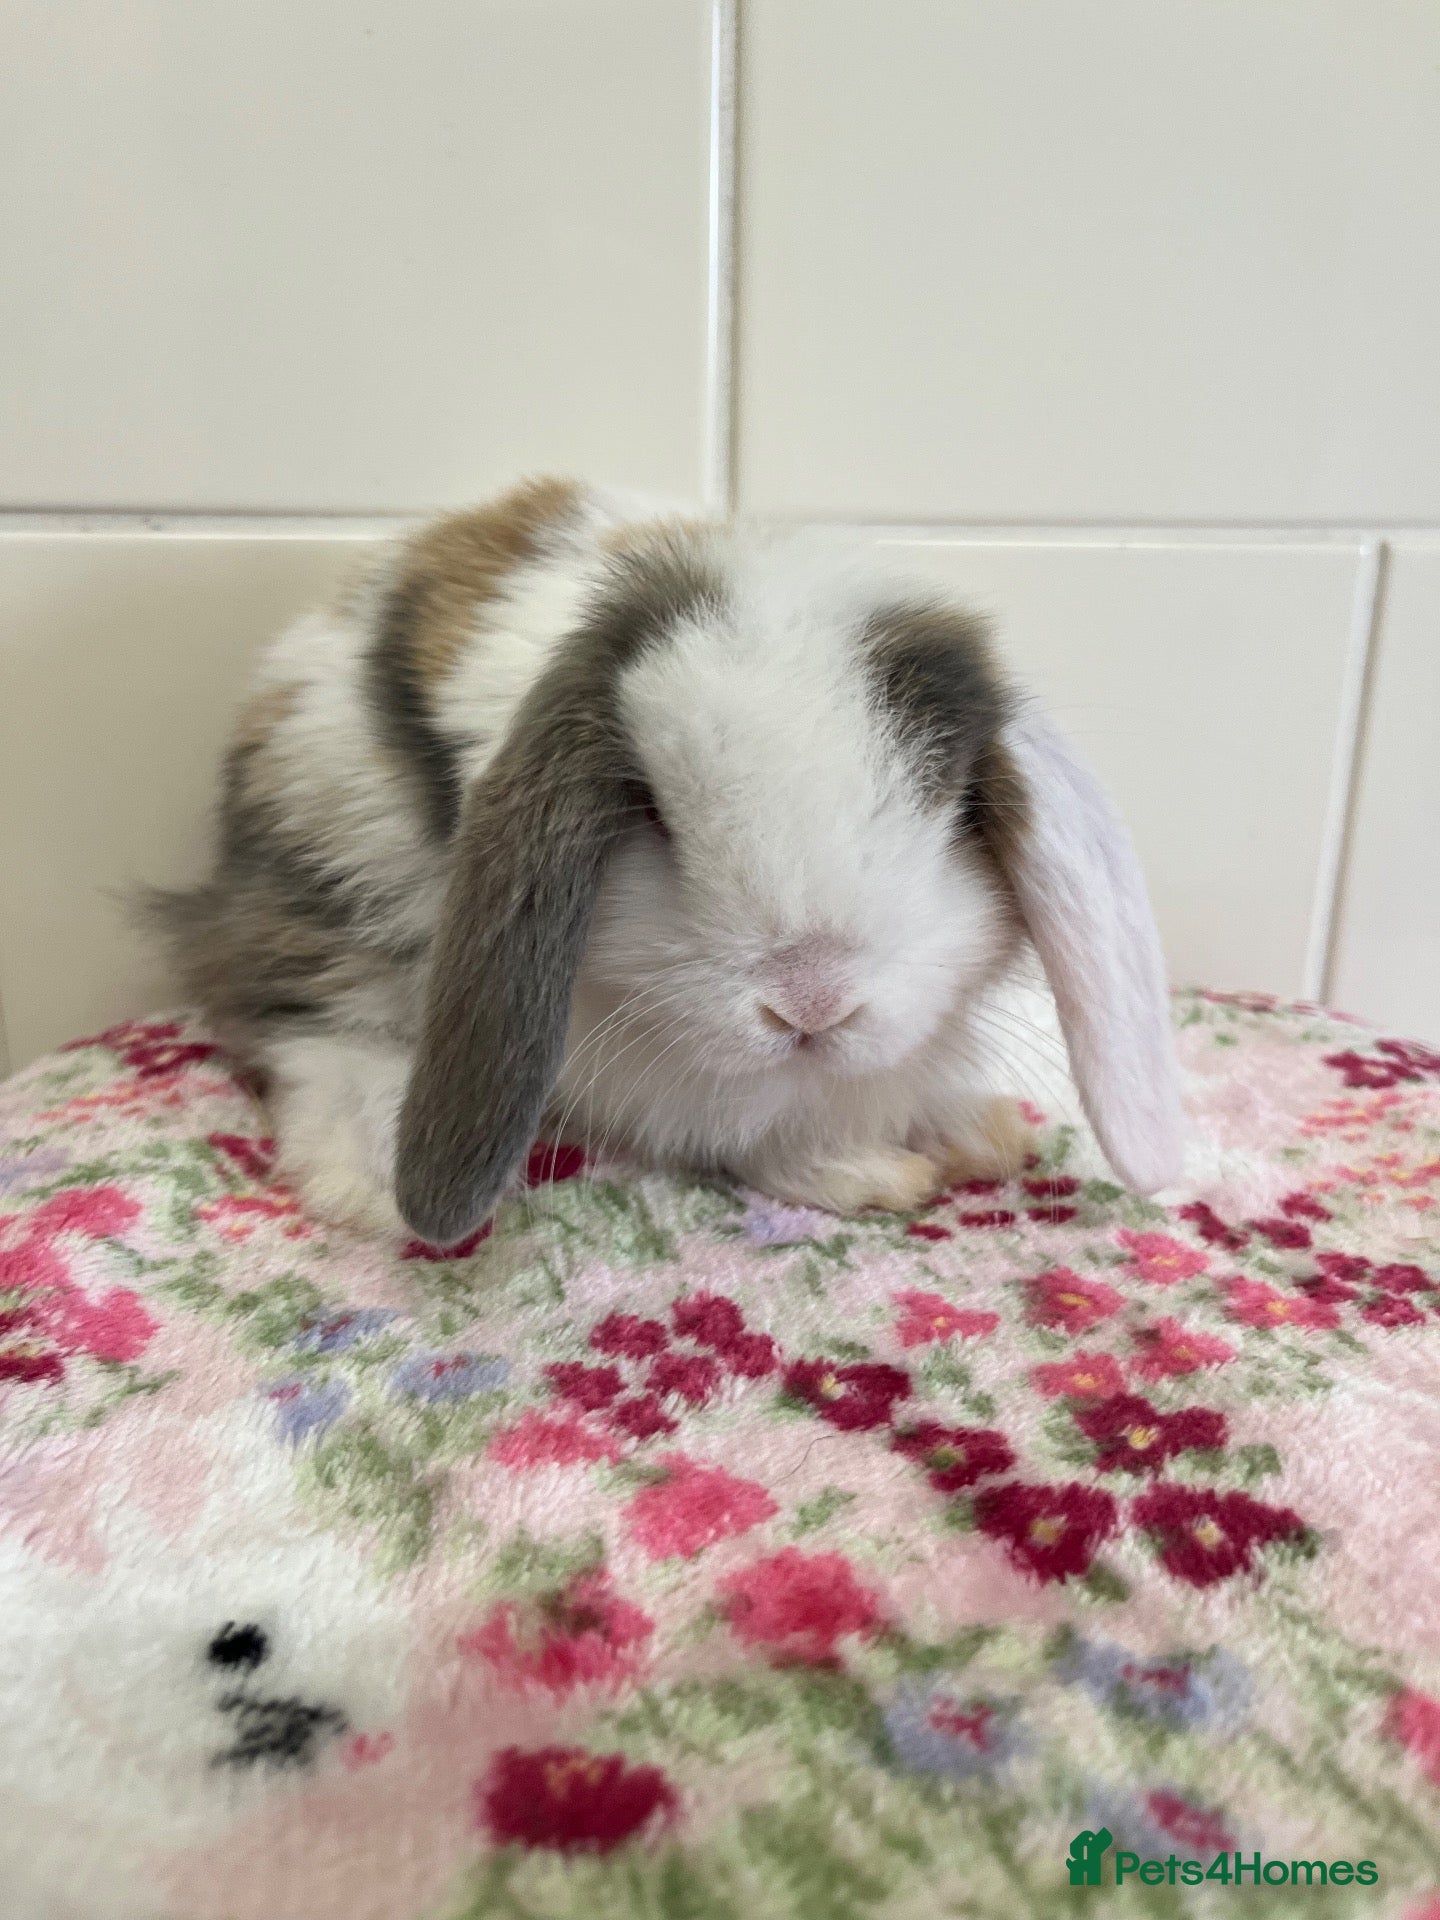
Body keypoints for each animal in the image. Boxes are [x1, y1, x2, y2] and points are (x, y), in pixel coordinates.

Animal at [149, 475, 1183, 1246]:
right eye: (649, 807)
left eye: (955, 802)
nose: (810, 1004)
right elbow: (735, 1127)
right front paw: (866, 1173)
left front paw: (971, 1136)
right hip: (335, 868)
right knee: (305, 1019)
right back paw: (364, 1176)